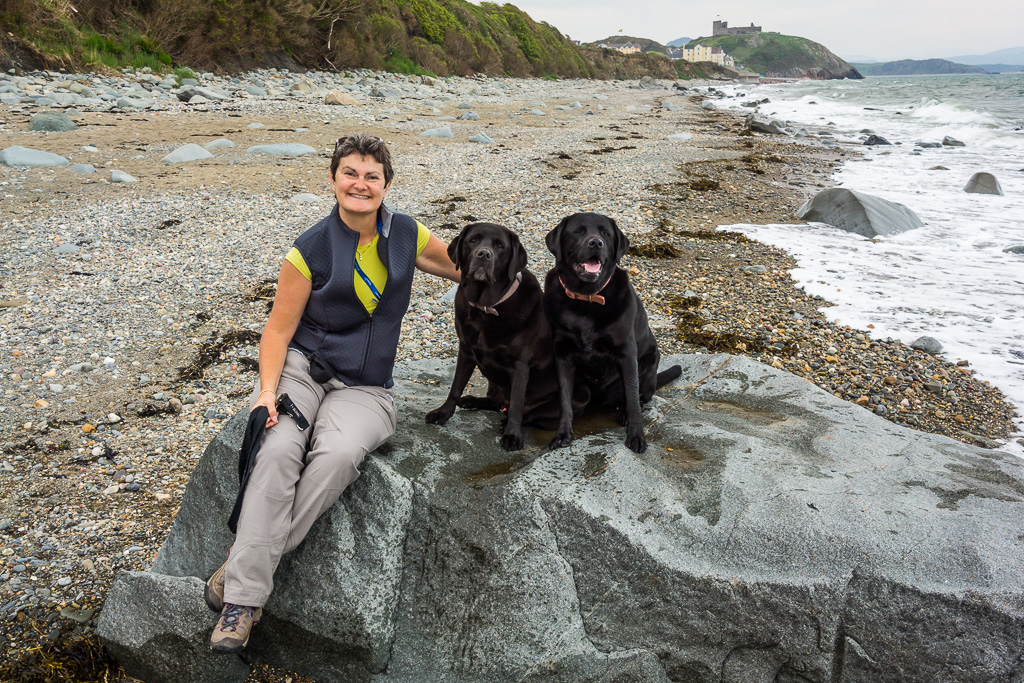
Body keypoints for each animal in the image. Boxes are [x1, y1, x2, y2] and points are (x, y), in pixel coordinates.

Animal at [423, 222, 585, 450]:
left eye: (500, 246)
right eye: (473, 240)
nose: (483, 254)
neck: (486, 308)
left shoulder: (520, 365)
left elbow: (517, 403)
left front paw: (512, 435)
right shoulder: (466, 350)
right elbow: (455, 386)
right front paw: (443, 413)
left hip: (579, 395)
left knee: (525, 412)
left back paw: (505, 422)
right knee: (496, 402)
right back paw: (471, 400)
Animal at [544, 211, 679, 454]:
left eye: (605, 234)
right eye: (579, 231)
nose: (596, 242)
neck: (585, 300)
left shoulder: (627, 354)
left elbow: (633, 399)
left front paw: (636, 436)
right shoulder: (562, 354)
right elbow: (565, 401)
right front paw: (562, 434)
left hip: (650, 360)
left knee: (641, 396)